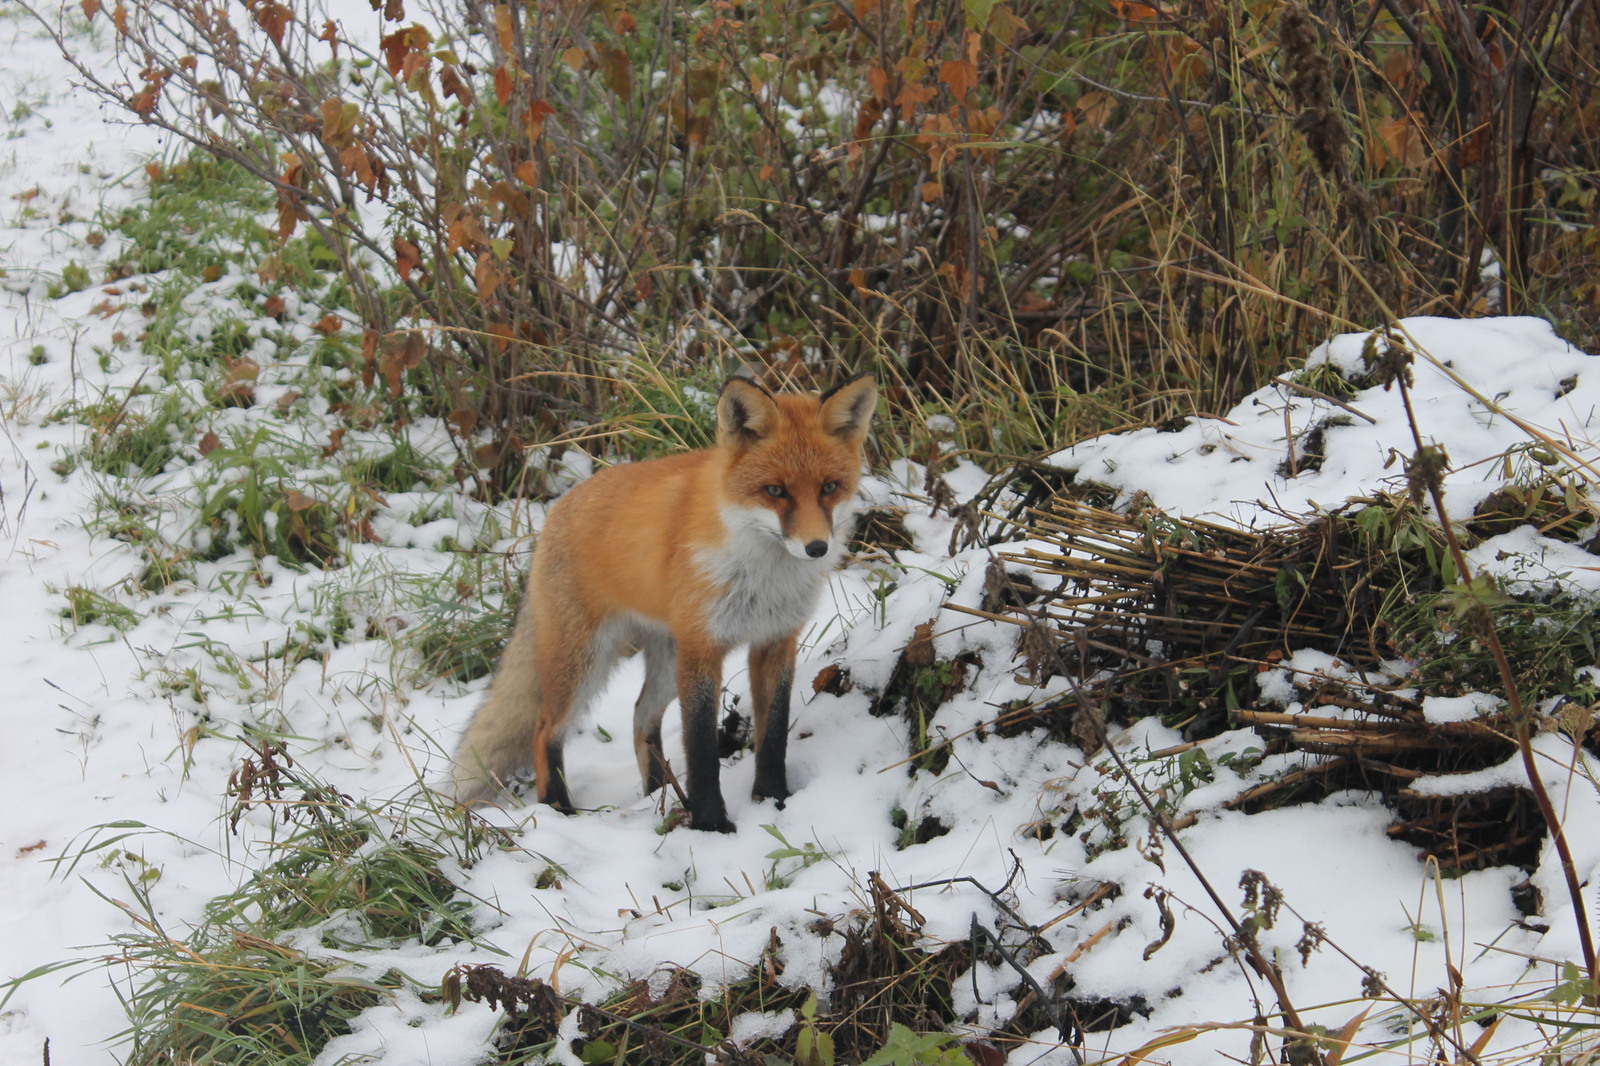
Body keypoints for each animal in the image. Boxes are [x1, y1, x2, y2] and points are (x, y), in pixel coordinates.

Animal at [448, 372, 876, 832]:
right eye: (776, 490)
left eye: (829, 488)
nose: (816, 548)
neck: (763, 575)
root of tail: (556, 511)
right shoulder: (702, 648)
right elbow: (701, 747)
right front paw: (711, 824)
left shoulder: (775, 641)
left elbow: (773, 735)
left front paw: (773, 800)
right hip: (586, 661)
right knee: (545, 729)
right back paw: (558, 808)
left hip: (665, 662)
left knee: (640, 718)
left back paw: (658, 792)